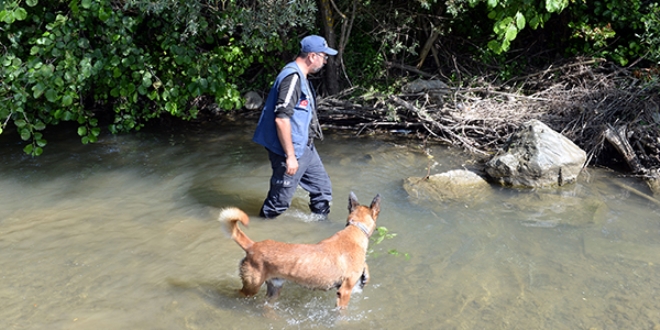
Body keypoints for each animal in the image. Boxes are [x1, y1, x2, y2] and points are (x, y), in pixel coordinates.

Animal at [219, 192, 378, 308]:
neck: (356, 229)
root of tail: (252, 245)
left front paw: (366, 276)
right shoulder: (344, 292)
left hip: (274, 288)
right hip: (252, 287)